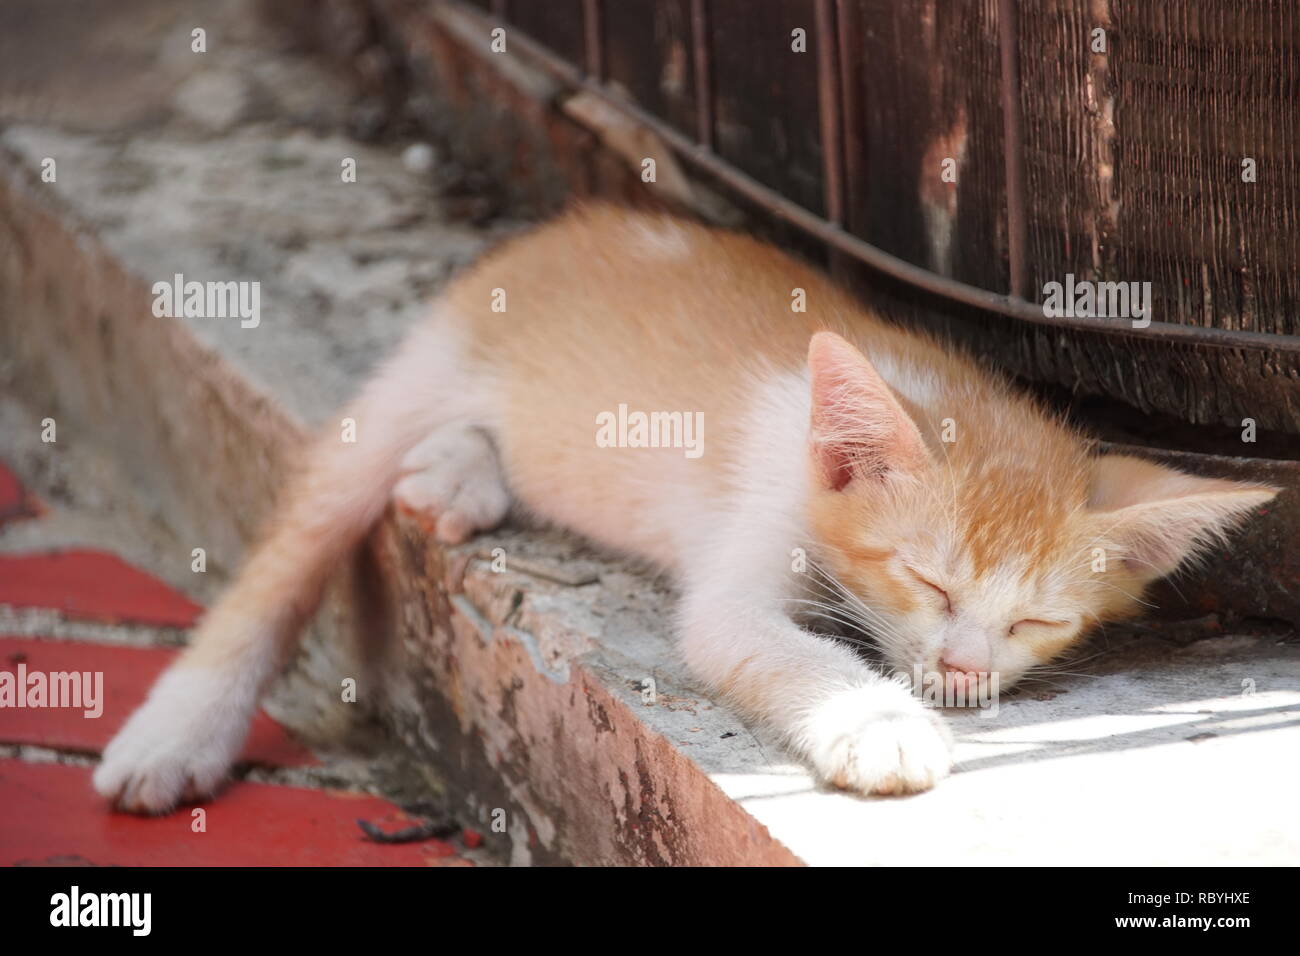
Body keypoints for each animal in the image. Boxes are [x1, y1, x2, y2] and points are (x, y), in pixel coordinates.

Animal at [94, 205, 1279, 811]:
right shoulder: (748, 544)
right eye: (926, 579)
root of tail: (574, 223)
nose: (956, 670)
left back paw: (455, 475)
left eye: (1037, 619)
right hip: (425, 362)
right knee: (292, 547)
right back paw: (178, 728)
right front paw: (881, 726)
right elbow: (771, 642)